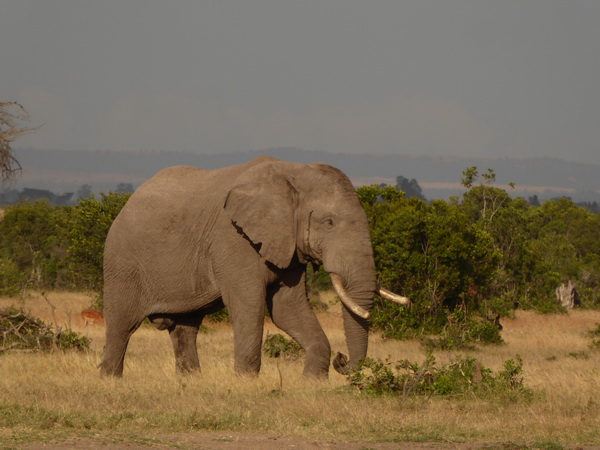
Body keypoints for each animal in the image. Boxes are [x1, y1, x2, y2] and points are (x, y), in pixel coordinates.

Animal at [99, 156, 408, 378]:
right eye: (329, 222)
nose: (342, 360)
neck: (293, 173)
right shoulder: (233, 240)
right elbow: (249, 305)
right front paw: (247, 382)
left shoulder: (287, 246)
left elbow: (287, 309)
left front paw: (312, 381)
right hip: (122, 263)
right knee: (122, 325)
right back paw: (111, 379)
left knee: (186, 329)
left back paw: (190, 381)